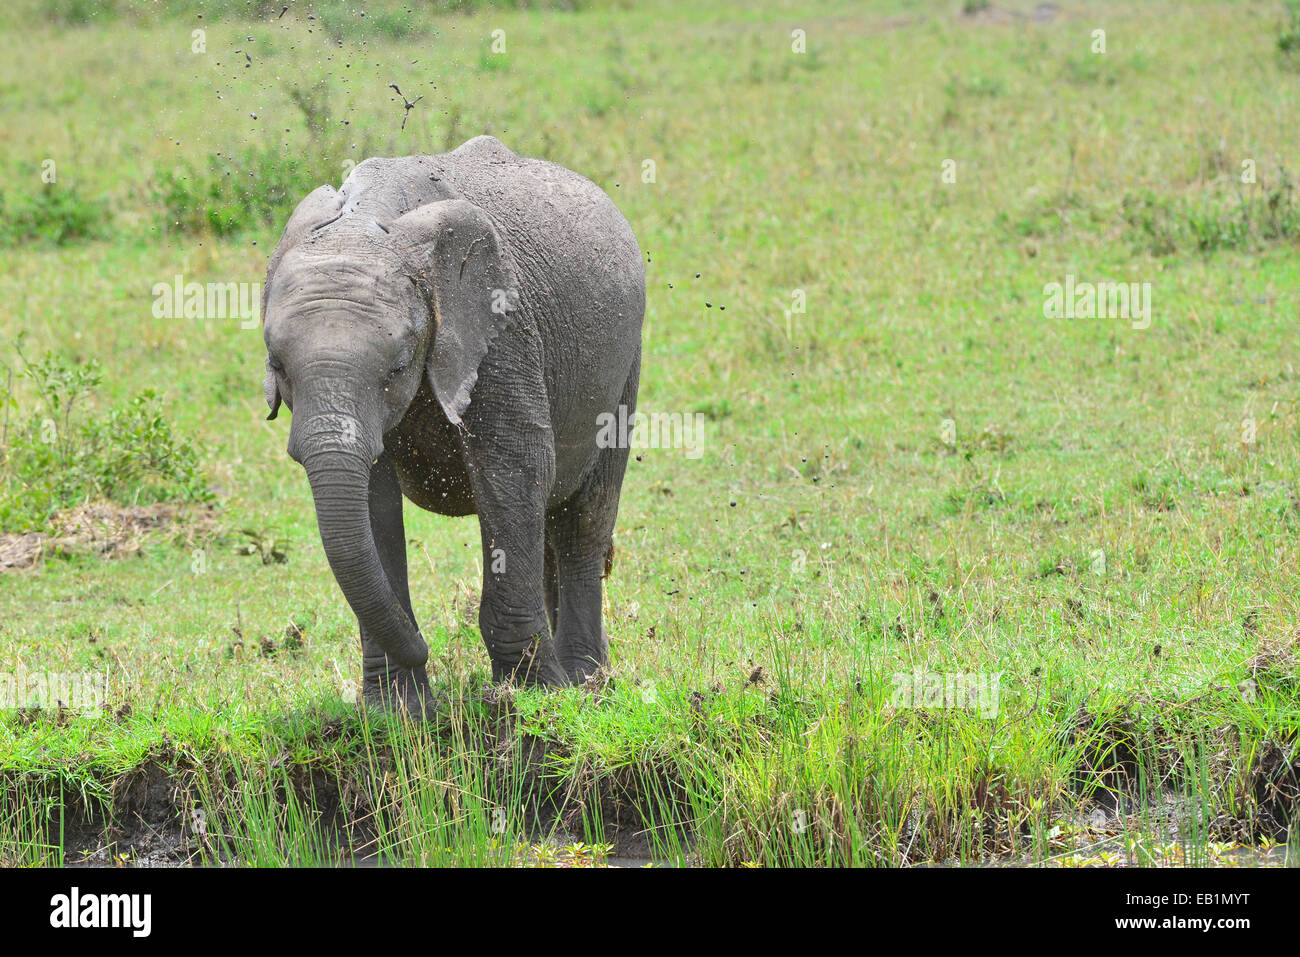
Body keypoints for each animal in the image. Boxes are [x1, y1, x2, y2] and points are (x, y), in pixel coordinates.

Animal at [262, 136, 644, 717]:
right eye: (277, 366)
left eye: (398, 368)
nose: (424, 651)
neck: (374, 216)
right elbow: (371, 504)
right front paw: (397, 711)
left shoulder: (501, 328)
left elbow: (513, 471)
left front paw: (533, 696)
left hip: (625, 365)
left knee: (584, 518)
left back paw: (586, 681)